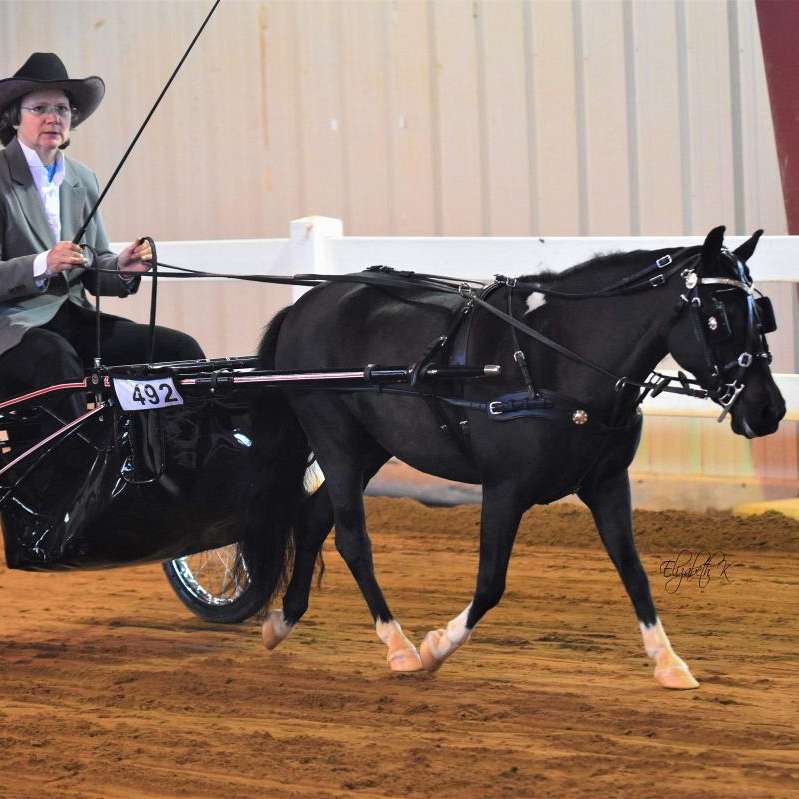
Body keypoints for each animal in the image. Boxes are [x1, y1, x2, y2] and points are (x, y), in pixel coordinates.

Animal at [248, 228, 780, 692]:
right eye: (719, 315)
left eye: (762, 312)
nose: (769, 409)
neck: (556, 358)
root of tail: (307, 304)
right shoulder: (505, 488)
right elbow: (490, 582)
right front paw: (436, 647)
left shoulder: (608, 482)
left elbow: (633, 570)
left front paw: (668, 662)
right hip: (334, 438)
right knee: (352, 539)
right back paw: (398, 645)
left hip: (371, 447)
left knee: (314, 519)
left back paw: (283, 620)